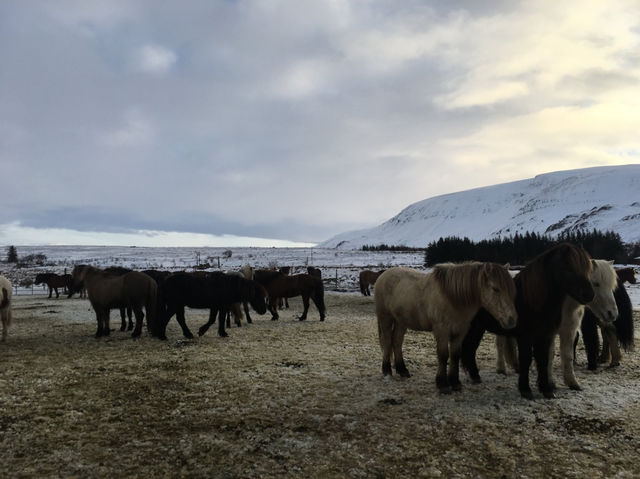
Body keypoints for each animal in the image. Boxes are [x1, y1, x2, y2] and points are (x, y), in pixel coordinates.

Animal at [376, 262, 520, 394]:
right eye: (495, 289)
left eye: (512, 290)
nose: (512, 320)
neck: (452, 298)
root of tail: (383, 275)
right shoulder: (442, 331)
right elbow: (443, 355)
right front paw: (442, 384)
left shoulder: (460, 332)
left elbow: (455, 355)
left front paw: (455, 383)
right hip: (386, 318)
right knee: (388, 342)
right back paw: (387, 371)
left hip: (401, 322)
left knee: (397, 342)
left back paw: (402, 370)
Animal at [460, 244, 596, 402]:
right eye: (567, 267)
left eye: (587, 267)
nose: (589, 295)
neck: (532, 300)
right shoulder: (525, 337)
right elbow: (526, 360)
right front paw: (525, 390)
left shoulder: (545, 336)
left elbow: (543, 360)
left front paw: (546, 390)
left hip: (477, 328)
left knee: (470, 349)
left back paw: (475, 376)